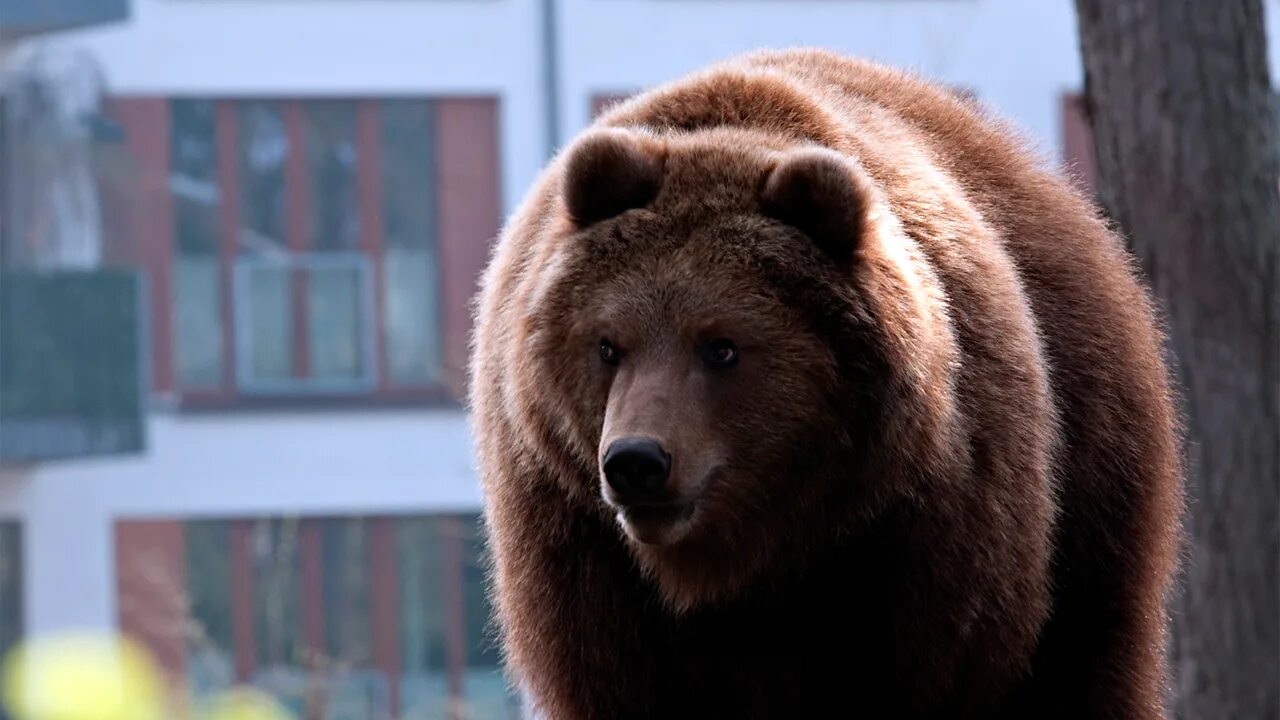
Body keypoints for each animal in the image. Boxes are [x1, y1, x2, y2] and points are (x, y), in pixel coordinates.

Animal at [469, 48, 1184, 719]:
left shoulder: (921, 546)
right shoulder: (590, 568)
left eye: (721, 347)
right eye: (609, 345)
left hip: (1091, 496)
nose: (637, 462)